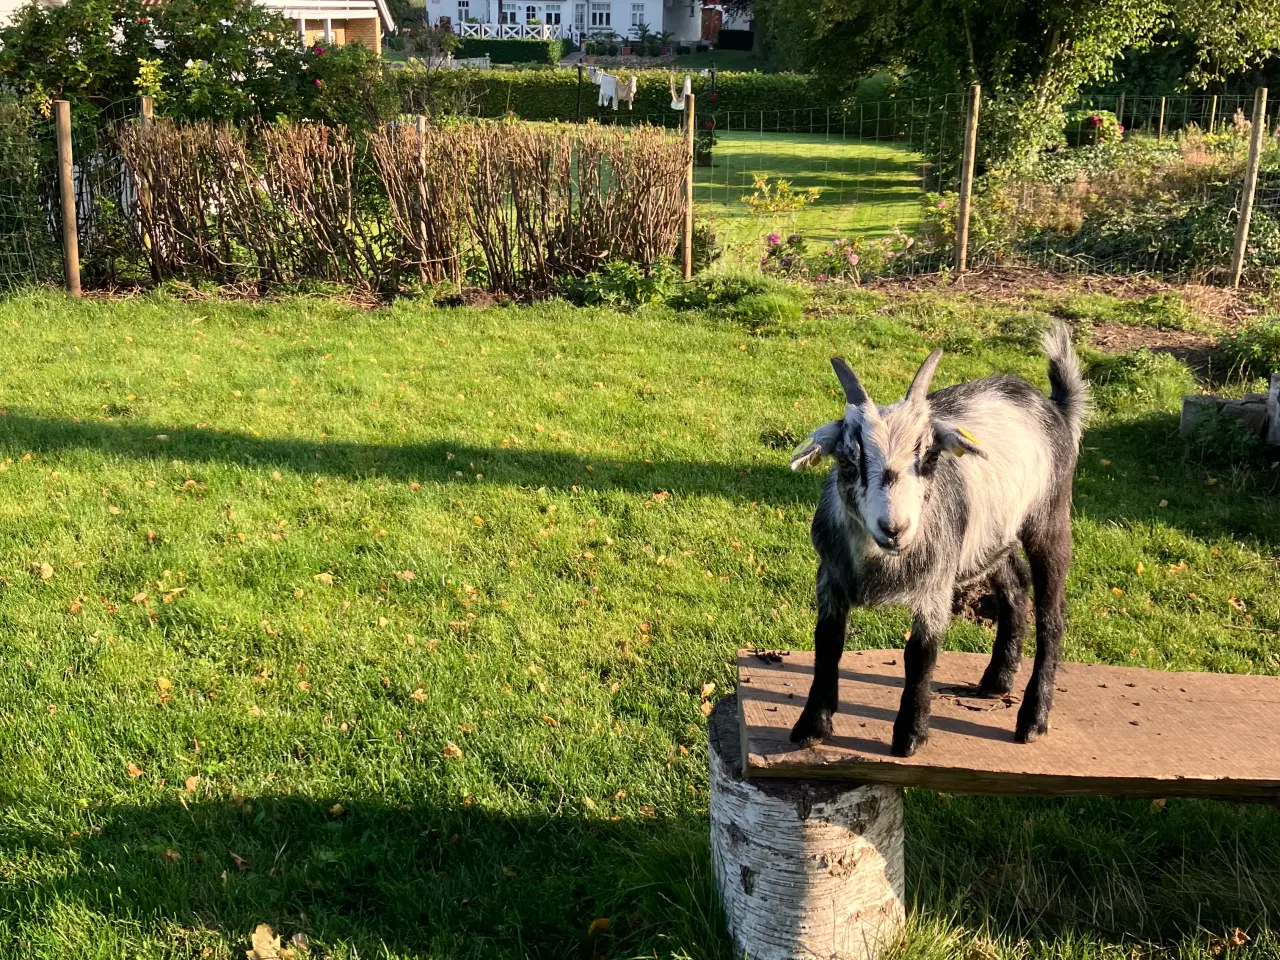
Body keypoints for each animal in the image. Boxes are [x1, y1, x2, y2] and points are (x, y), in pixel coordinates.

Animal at [788, 327, 1090, 757]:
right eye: (846, 460)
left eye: (930, 457)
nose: (894, 528)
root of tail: (1054, 407)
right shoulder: (830, 575)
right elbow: (827, 642)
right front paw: (812, 724)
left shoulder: (936, 584)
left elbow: (920, 654)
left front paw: (910, 735)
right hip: (989, 537)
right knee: (1015, 586)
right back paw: (996, 680)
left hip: (1050, 519)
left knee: (1052, 615)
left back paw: (1033, 718)